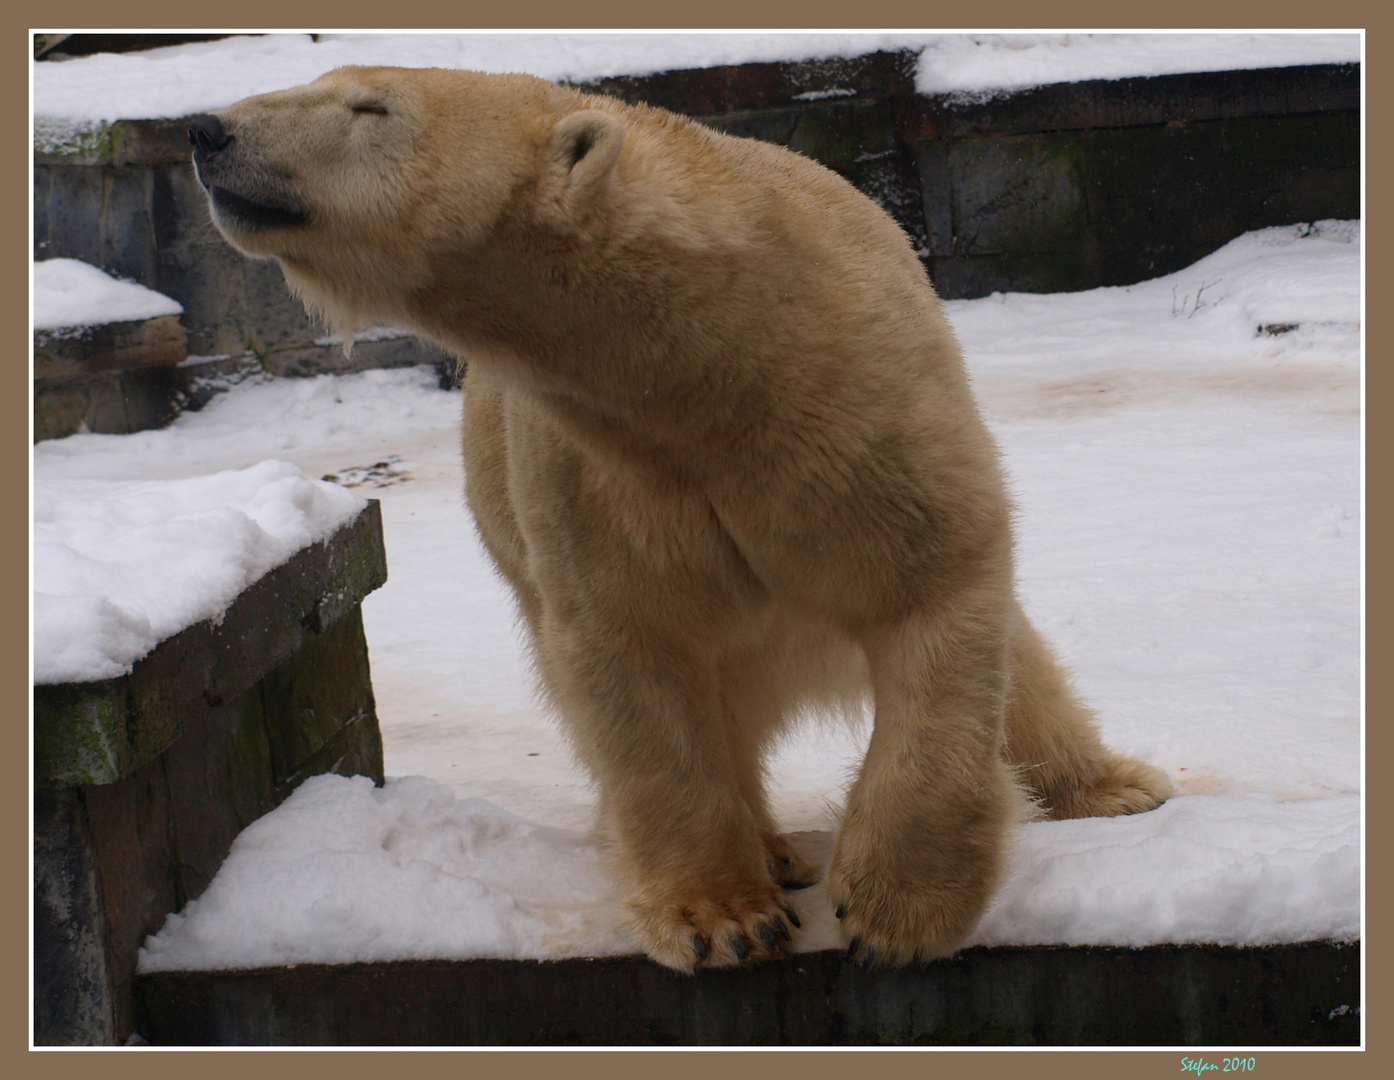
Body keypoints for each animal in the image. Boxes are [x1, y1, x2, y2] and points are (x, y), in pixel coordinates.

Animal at [185, 69, 1165, 981]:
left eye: (369, 106)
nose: (205, 130)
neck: (717, 359)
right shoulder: (603, 476)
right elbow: (635, 664)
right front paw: (721, 917)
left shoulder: (858, 411)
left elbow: (932, 591)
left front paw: (897, 910)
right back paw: (771, 848)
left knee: (1020, 658)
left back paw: (1112, 787)